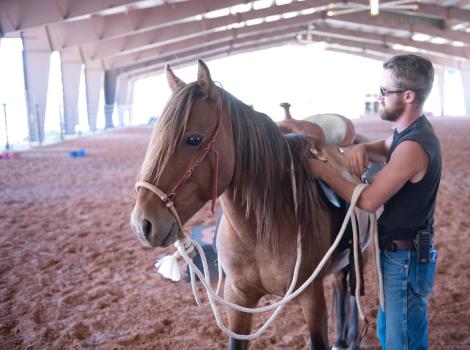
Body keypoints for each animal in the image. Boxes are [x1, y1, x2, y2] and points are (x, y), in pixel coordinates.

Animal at [130, 60, 366, 350]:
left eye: (194, 139)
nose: (142, 224)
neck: (260, 233)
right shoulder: (238, 298)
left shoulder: (311, 297)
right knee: (340, 288)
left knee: (352, 293)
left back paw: (351, 338)